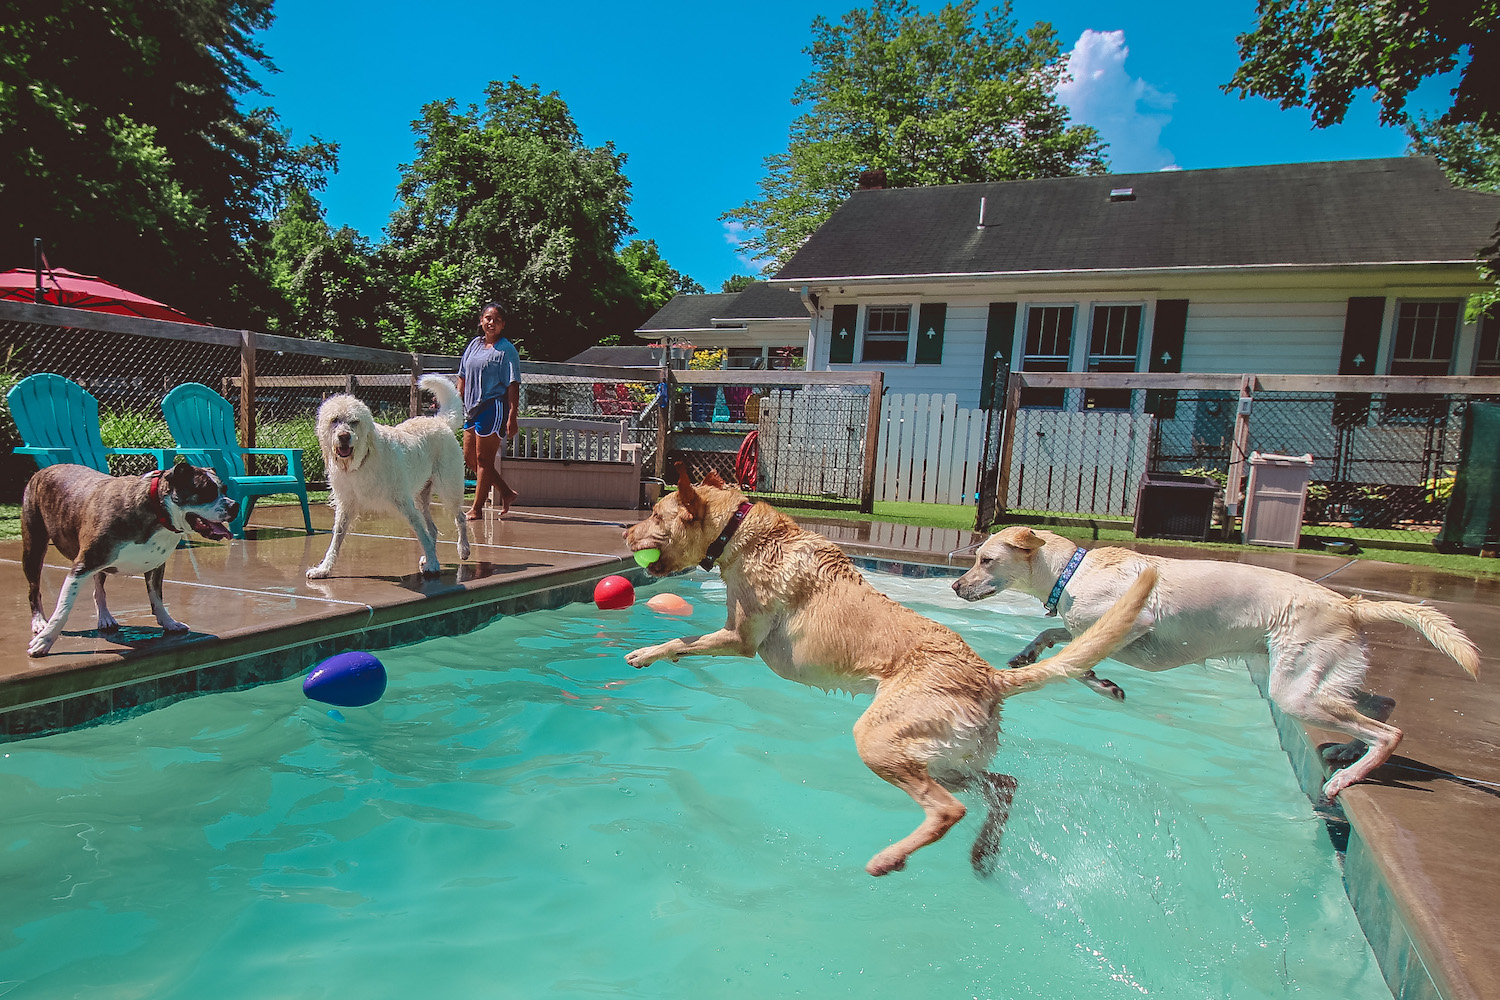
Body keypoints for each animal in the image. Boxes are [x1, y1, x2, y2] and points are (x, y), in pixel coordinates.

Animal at [22, 464, 240, 659]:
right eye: (206, 492)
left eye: (224, 489)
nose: (234, 505)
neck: (157, 509)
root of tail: (42, 471)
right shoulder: (81, 567)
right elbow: (63, 609)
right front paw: (45, 640)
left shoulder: (156, 565)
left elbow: (157, 598)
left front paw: (169, 623)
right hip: (33, 550)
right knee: (34, 590)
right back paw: (39, 622)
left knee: (98, 589)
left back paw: (104, 617)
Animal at [304, 373, 468, 578]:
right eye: (334, 420)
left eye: (354, 421)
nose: (343, 436)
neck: (362, 461)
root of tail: (439, 421)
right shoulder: (345, 506)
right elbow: (336, 539)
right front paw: (324, 569)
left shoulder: (405, 504)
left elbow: (421, 534)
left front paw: (433, 563)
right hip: (421, 498)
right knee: (433, 528)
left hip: (448, 490)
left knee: (460, 517)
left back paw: (463, 549)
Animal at [954, 524, 1482, 797]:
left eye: (984, 559)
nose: (956, 586)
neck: (1071, 570)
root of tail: (1347, 603)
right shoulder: (1088, 625)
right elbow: (1054, 632)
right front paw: (1028, 651)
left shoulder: (1132, 622)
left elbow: (1077, 660)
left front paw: (1103, 685)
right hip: (1314, 679)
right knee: (1380, 703)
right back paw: (1347, 753)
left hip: (1294, 691)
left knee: (1388, 731)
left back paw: (1347, 776)